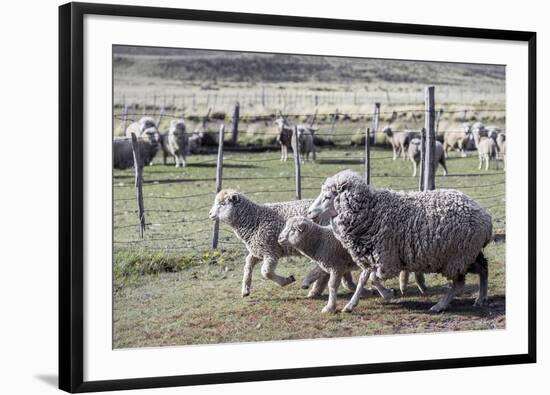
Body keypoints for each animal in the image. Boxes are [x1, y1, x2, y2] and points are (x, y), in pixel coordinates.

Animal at [308, 169, 494, 312]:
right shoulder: (371, 256)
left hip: (457, 257)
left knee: (459, 283)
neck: (371, 213)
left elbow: (373, 278)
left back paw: (439, 305)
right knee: (483, 268)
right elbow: (363, 279)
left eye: (327, 197)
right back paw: (480, 298)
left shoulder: (387, 260)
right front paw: (350, 305)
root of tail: (485, 217)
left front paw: (389, 294)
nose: (309, 213)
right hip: (468, 254)